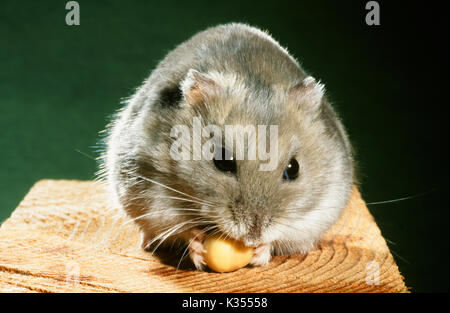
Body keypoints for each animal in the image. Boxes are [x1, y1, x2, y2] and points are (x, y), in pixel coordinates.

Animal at [99, 23, 356, 270]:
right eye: (222, 162)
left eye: (293, 169)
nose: (252, 236)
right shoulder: (152, 192)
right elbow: (180, 227)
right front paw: (198, 250)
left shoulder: (316, 212)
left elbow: (283, 237)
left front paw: (260, 252)